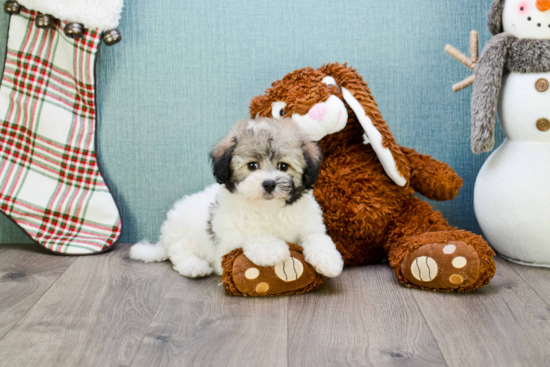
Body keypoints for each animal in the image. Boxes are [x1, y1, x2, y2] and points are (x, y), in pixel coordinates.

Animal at [130, 118, 344, 278]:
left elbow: (318, 238)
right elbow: (251, 235)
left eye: (283, 166)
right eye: (252, 166)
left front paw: (329, 260)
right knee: (179, 254)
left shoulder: (310, 225)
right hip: (182, 235)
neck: (270, 209)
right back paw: (195, 266)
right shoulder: (228, 243)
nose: (269, 184)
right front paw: (272, 249)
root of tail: (164, 239)